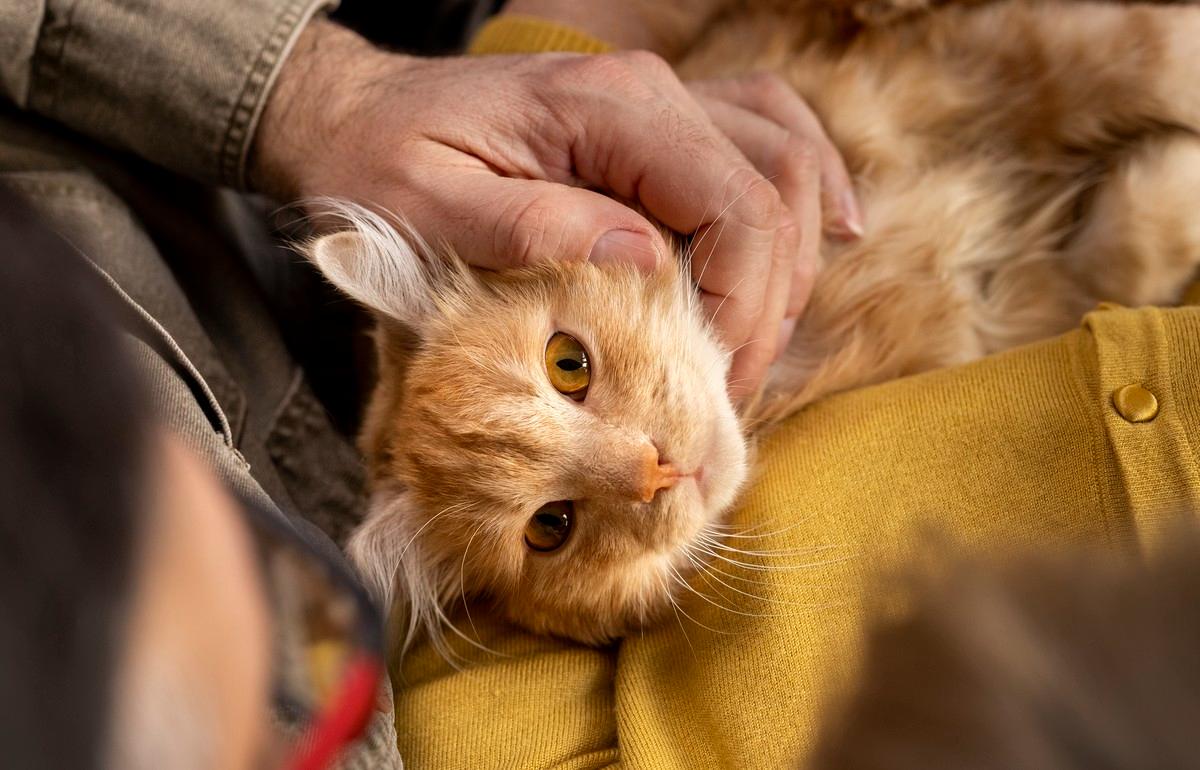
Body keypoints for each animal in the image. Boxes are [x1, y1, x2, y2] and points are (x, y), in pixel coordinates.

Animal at [297, 0, 1200, 652]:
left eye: (567, 364)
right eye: (551, 528)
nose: (656, 470)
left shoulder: (978, 57)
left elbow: (1155, 55)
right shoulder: (1010, 293)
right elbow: (1140, 234)